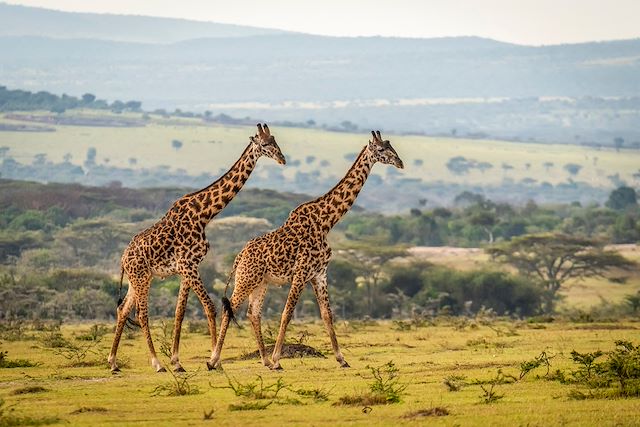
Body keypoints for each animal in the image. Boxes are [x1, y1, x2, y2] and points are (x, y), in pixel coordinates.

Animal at [108, 122, 284, 372]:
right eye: (266, 144)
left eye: (275, 141)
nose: (282, 159)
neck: (205, 214)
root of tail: (123, 260)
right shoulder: (188, 265)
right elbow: (209, 306)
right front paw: (214, 360)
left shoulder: (187, 268)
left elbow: (179, 312)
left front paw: (177, 361)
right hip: (141, 278)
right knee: (141, 314)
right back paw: (156, 363)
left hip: (139, 279)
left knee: (123, 309)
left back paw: (113, 362)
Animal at [210, 130, 400, 372]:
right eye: (382, 149)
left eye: (390, 146)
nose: (400, 162)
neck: (326, 222)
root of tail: (239, 257)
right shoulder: (301, 273)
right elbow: (287, 313)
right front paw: (277, 360)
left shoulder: (319, 274)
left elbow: (327, 314)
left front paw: (342, 359)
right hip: (246, 279)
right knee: (230, 309)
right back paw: (214, 360)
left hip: (261, 283)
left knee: (253, 313)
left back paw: (262, 360)